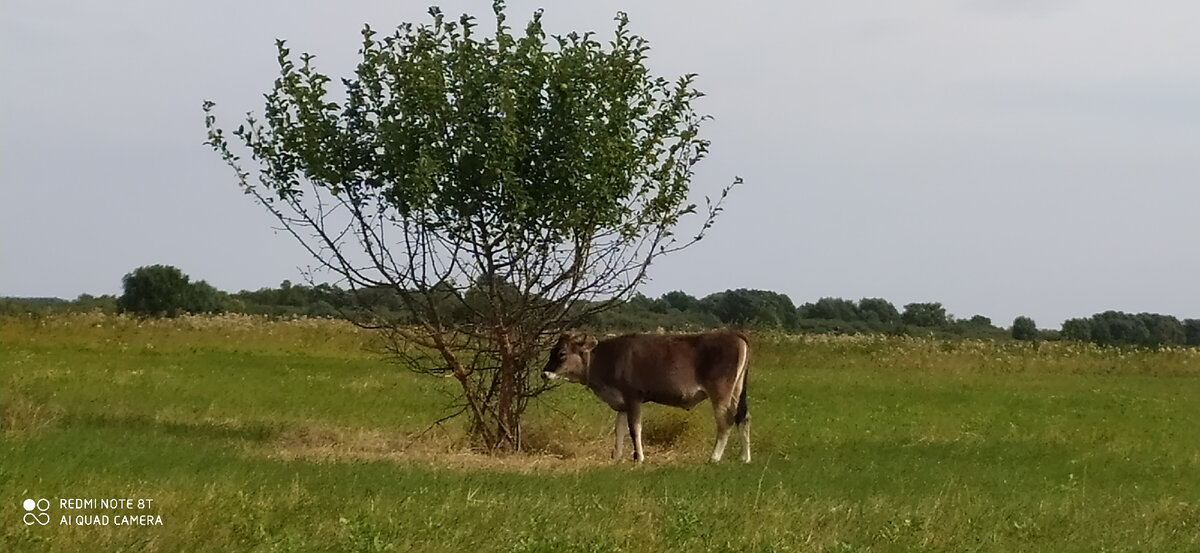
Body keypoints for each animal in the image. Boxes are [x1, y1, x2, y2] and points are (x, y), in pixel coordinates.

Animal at [542, 328, 748, 463]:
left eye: (562, 353)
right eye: (551, 351)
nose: (544, 373)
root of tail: (732, 334)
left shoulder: (633, 396)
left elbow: (635, 428)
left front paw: (639, 457)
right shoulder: (621, 402)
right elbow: (619, 429)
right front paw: (616, 457)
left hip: (720, 393)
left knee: (726, 421)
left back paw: (714, 457)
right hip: (736, 392)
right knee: (743, 417)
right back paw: (745, 458)